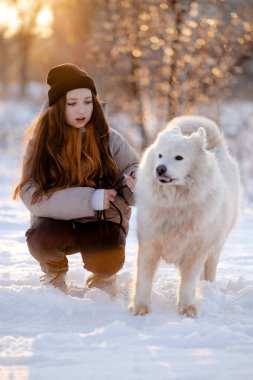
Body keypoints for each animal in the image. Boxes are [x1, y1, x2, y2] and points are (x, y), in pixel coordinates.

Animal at [130, 115, 239, 318]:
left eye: (178, 157)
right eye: (160, 155)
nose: (160, 169)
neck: (174, 204)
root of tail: (216, 148)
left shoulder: (195, 250)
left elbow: (188, 284)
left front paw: (187, 307)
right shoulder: (149, 245)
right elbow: (143, 279)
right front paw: (140, 306)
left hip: (217, 243)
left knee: (210, 267)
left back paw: (209, 287)